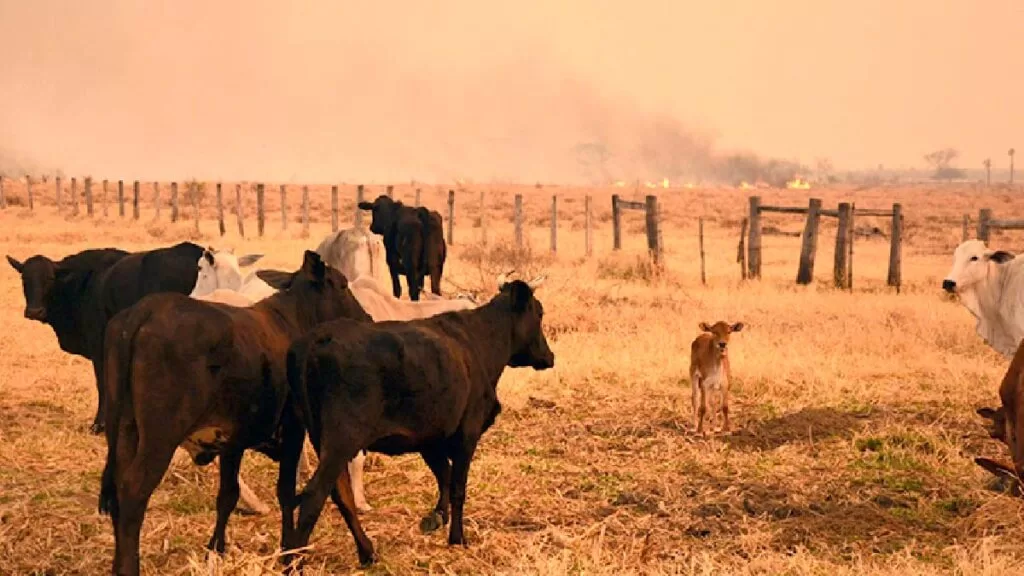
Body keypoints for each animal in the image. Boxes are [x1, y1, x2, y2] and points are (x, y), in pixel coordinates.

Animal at [7, 239, 204, 432]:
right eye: (24, 278)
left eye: (49, 279)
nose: (34, 311)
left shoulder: (99, 347)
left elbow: (103, 384)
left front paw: (99, 424)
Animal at [96, 251, 372, 573]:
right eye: (342, 285)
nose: (367, 319)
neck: (292, 320)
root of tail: (144, 311)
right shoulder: (293, 429)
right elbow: (288, 492)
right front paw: (288, 554)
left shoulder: (231, 440)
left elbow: (227, 495)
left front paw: (216, 550)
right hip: (158, 440)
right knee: (132, 492)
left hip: (123, 432)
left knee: (117, 490)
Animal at [280, 272, 552, 565]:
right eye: (539, 312)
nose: (550, 357)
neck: (478, 342)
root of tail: (318, 337)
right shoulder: (467, 433)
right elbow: (457, 486)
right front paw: (457, 538)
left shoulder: (430, 437)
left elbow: (443, 475)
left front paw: (437, 517)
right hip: (342, 439)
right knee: (315, 496)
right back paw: (294, 561)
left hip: (322, 438)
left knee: (340, 494)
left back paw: (366, 552)